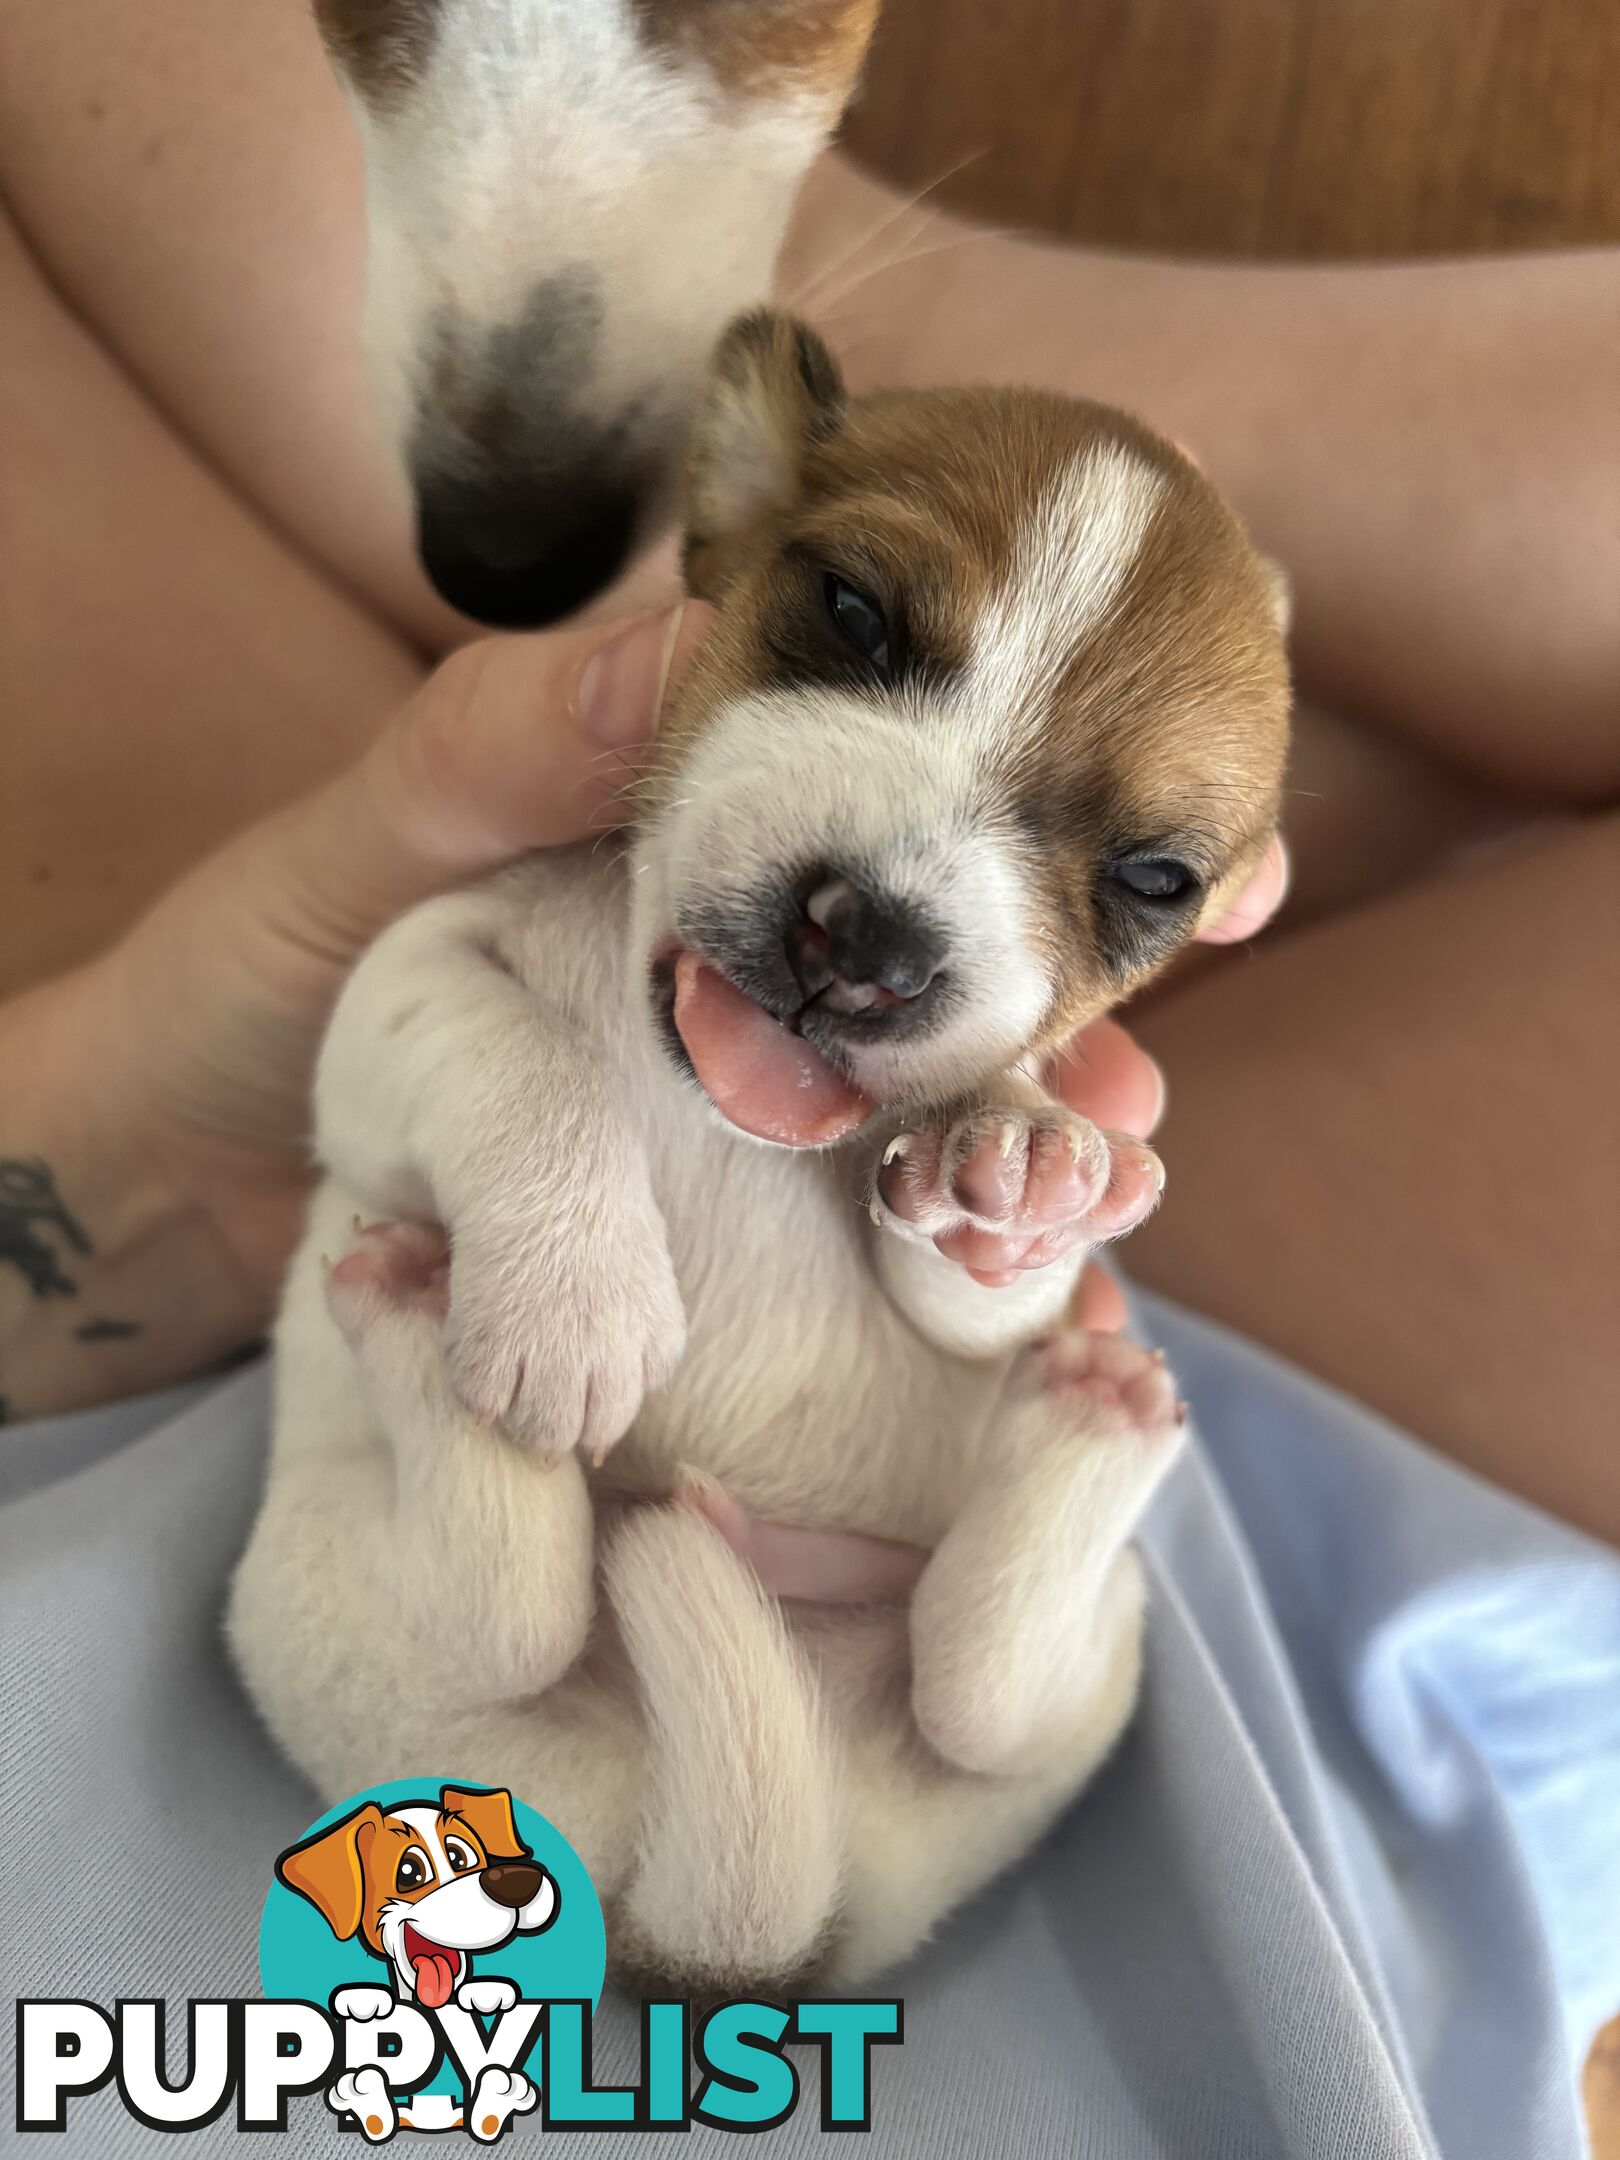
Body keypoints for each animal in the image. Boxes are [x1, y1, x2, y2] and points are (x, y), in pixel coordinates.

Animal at [228, 313, 1296, 1995]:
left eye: (1154, 878)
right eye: (850, 612)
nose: (872, 944)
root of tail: (714, 1906)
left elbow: (973, 1275)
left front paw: (1016, 1175)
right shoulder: (393, 986)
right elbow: (520, 1057)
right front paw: (575, 1297)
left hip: (1072, 1682)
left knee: (977, 1687)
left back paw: (1093, 1417)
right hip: (339, 1610)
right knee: (511, 1603)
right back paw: (412, 1312)